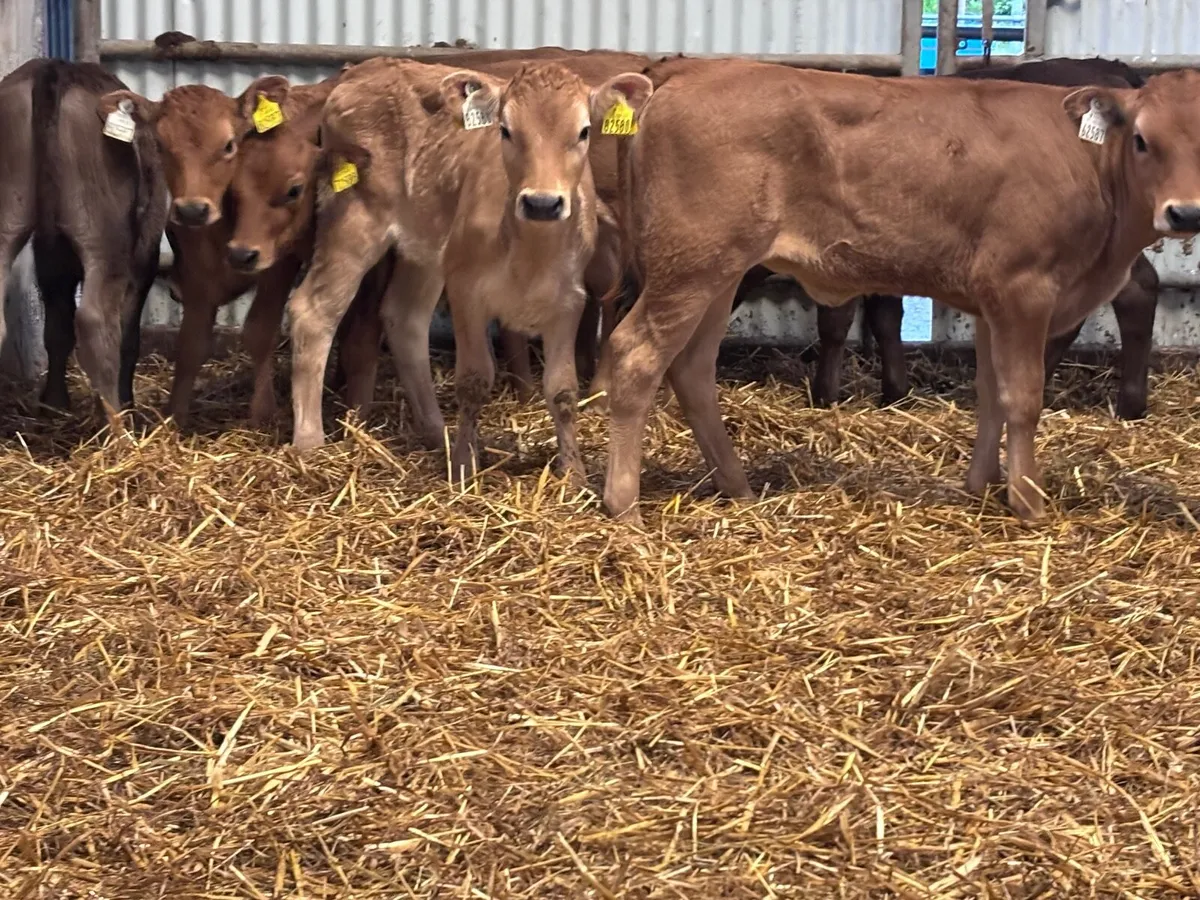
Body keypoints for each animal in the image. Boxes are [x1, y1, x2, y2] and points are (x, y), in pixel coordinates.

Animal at [0, 58, 167, 424]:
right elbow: (128, 335)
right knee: (96, 322)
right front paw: (126, 402)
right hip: (104, 237)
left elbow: (57, 327)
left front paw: (53, 405)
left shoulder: (49, 255)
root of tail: (53, 68)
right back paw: (116, 425)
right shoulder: (144, 254)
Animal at [222, 50, 644, 435]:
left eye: (584, 131)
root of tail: (362, 71)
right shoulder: (467, 288)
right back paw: (310, 439)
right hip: (354, 218)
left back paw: (434, 430)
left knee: (404, 317)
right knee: (314, 311)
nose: (542, 202)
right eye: (505, 130)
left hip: (424, 248)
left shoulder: (570, 294)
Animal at [600, 57, 1200, 523]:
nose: (1185, 213)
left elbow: (990, 393)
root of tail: (689, 70)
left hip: (718, 271)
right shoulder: (1023, 289)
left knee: (692, 366)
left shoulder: (991, 303)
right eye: (1142, 140)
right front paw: (1028, 502)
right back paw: (623, 504)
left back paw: (738, 487)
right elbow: (1024, 398)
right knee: (636, 355)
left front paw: (979, 486)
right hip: (692, 266)